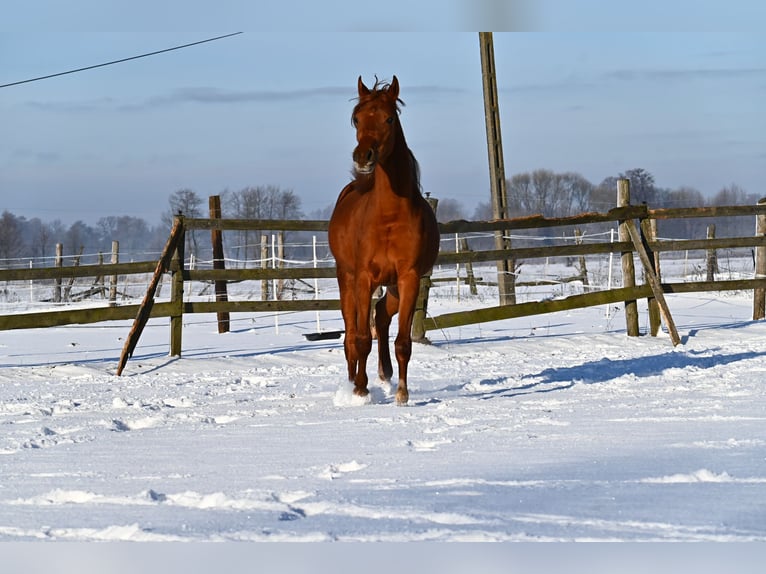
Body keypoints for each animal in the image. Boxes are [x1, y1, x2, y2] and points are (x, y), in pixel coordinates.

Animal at [328, 76, 438, 408]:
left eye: (389, 118)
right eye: (357, 119)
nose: (363, 157)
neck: (389, 216)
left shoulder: (408, 278)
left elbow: (403, 342)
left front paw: (402, 393)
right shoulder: (364, 277)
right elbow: (362, 338)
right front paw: (360, 391)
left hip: (392, 287)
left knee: (381, 315)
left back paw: (385, 374)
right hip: (346, 279)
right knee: (352, 334)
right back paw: (353, 382)